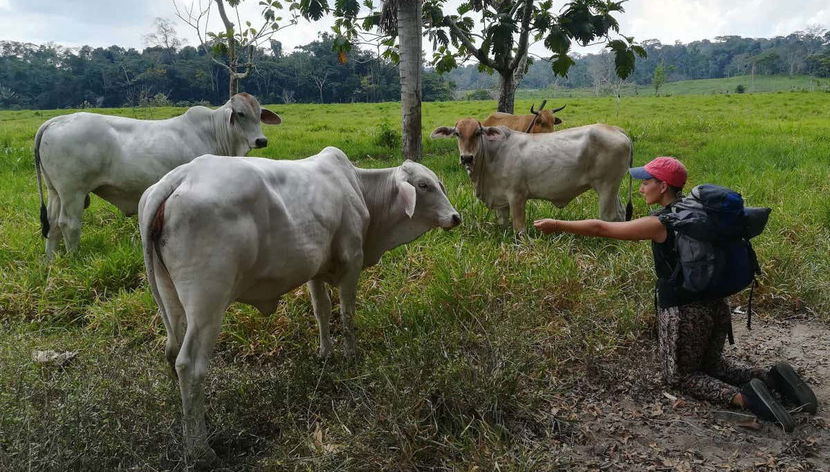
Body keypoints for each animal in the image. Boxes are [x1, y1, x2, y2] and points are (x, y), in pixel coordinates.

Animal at [33, 92, 281, 260]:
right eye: (240, 114)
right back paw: (74, 258)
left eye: (259, 114)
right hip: (73, 192)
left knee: (53, 224)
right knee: (68, 224)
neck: (214, 132)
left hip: (55, 191)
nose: (261, 140)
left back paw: (51, 262)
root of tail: (55, 121)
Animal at [138, 147, 460, 463]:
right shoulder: (352, 261)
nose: (455, 217)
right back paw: (200, 450)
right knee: (189, 364)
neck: (359, 187)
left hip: (171, 297)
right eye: (424, 185)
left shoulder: (315, 271)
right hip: (207, 301)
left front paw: (325, 353)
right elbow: (347, 313)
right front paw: (351, 355)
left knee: (172, 353)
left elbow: (321, 310)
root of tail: (179, 177)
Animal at [430, 119, 633, 235]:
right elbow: (504, 224)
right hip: (612, 189)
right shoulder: (501, 202)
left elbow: (519, 227)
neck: (491, 156)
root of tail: (616, 129)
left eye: (478, 132)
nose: (466, 157)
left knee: (609, 217)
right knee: (620, 215)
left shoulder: (517, 196)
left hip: (606, 186)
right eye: (457, 133)